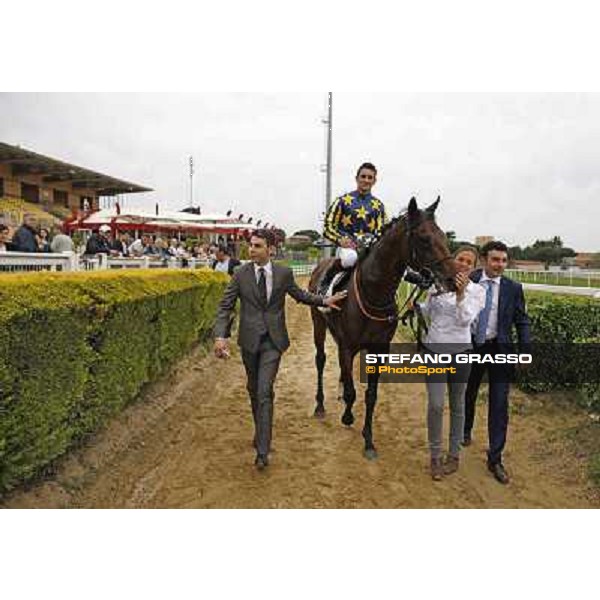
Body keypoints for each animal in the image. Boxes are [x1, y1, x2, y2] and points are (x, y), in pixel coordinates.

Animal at [312, 197, 458, 460]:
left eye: (443, 235)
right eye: (424, 238)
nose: (453, 279)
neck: (374, 293)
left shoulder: (379, 349)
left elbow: (371, 395)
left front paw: (369, 441)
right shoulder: (348, 346)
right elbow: (352, 392)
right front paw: (347, 416)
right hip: (318, 324)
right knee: (320, 360)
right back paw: (320, 405)